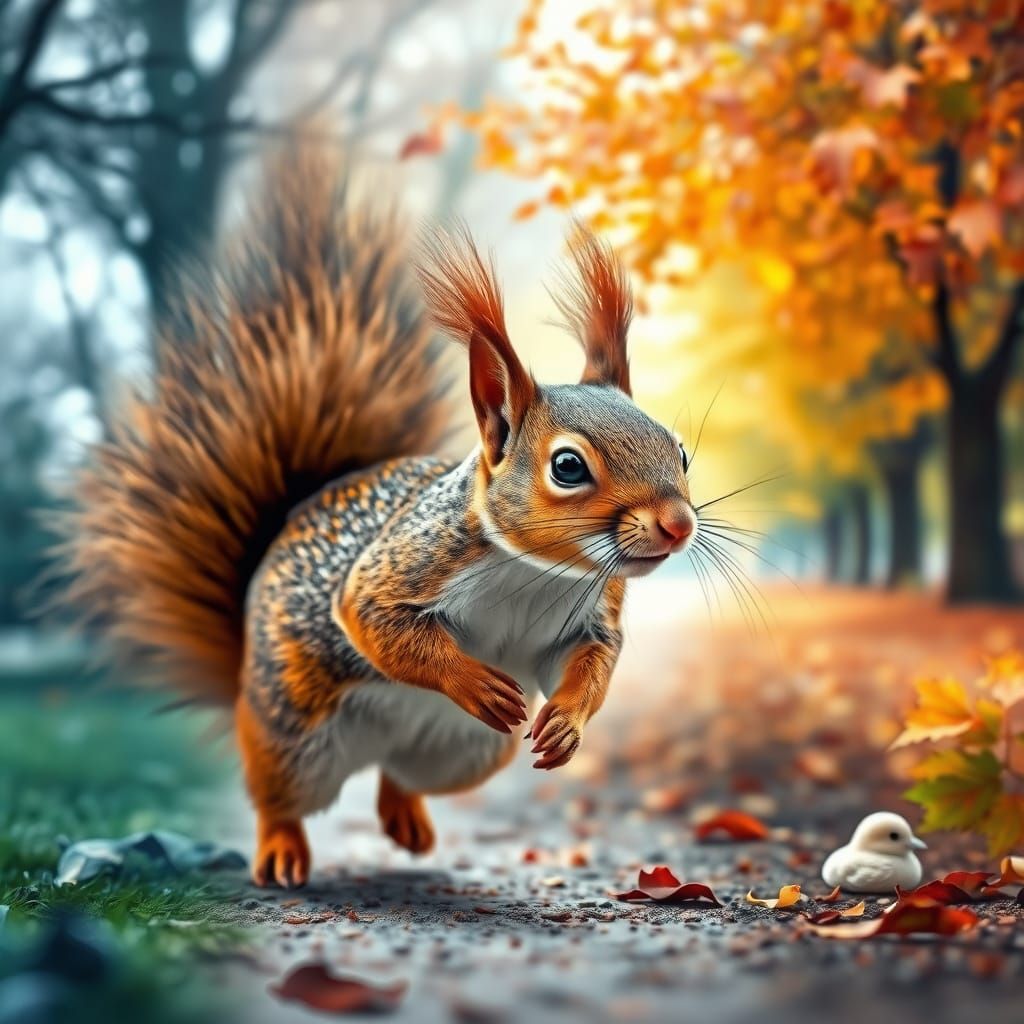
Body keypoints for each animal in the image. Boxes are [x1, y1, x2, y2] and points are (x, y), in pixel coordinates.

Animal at [59, 149, 697, 888]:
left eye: (681, 451)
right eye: (568, 466)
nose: (679, 525)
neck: (540, 572)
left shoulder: (590, 616)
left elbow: (592, 663)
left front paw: (566, 721)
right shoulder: (409, 562)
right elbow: (372, 618)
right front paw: (472, 679)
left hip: (470, 753)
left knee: (400, 776)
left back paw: (406, 818)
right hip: (293, 732)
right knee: (279, 796)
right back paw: (281, 851)